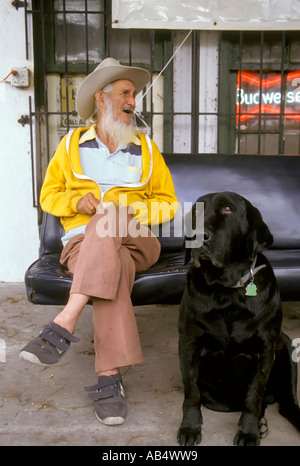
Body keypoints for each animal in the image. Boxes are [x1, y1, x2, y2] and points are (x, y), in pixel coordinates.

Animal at [178, 191, 300, 446]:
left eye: (227, 209)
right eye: (195, 212)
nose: (197, 236)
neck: (227, 291)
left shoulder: (266, 350)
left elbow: (253, 396)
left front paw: (248, 432)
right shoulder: (188, 343)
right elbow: (191, 393)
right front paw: (190, 428)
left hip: (285, 344)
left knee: (286, 405)